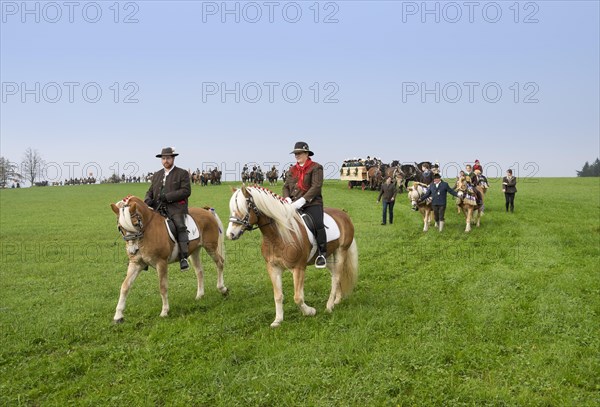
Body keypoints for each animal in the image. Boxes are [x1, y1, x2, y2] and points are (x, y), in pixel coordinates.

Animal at [110, 196, 227, 324]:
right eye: (120, 228)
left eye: (136, 224)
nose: (133, 250)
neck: (147, 231)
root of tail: (206, 211)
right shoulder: (136, 264)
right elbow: (125, 286)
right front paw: (118, 316)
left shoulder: (161, 263)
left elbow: (163, 287)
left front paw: (164, 312)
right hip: (194, 251)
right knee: (199, 271)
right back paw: (200, 295)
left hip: (210, 247)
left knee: (220, 263)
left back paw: (222, 289)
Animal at [225, 186, 356, 326]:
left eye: (244, 208)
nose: (230, 234)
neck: (277, 235)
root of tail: (344, 214)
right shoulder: (273, 268)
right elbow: (278, 296)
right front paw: (278, 320)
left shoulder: (298, 268)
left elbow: (298, 297)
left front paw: (310, 311)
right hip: (330, 258)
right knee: (336, 276)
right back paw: (337, 300)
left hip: (341, 252)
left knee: (336, 277)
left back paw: (329, 306)